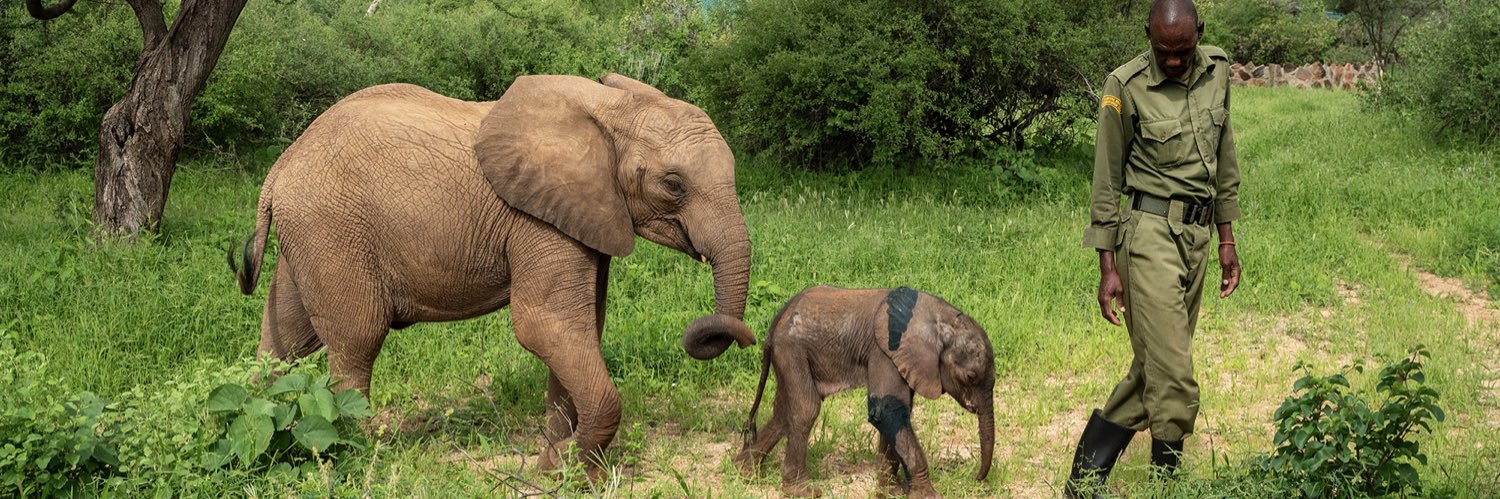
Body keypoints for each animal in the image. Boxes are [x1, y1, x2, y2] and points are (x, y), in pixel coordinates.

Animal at [230, 73, 756, 474]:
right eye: (673, 184)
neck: (610, 109)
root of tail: (280, 166)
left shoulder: (587, 213)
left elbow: (582, 327)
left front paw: (558, 464)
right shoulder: (538, 219)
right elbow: (545, 325)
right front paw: (558, 464)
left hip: (311, 236)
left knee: (286, 341)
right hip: (332, 228)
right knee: (356, 339)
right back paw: (359, 456)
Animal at [732, 286, 996, 498]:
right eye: (970, 377)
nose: (976, 478)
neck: (940, 317)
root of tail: (777, 320)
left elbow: (895, 413)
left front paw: (890, 491)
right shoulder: (884, 351)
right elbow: (886, 412)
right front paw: (926, 495)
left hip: (788, 354)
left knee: (783, 413)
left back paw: (744, 472)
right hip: (791, 350)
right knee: (806, 408)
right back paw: (802, 491)